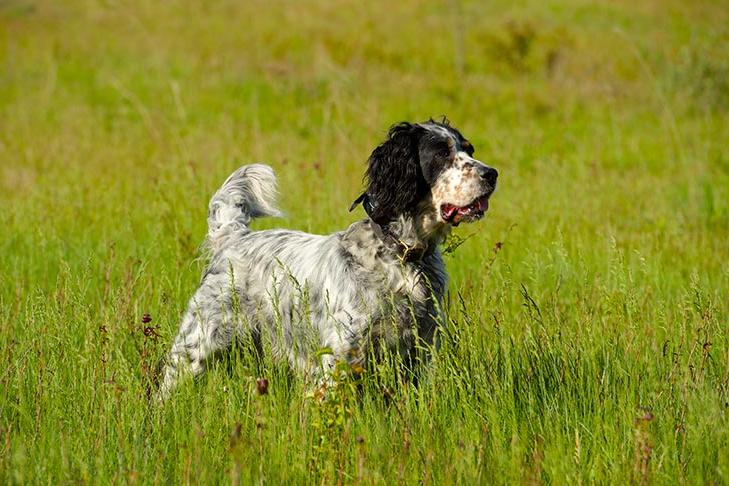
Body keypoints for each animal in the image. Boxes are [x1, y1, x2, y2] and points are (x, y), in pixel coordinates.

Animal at [154, 118, 494, 398]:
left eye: (468, 149)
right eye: (441, 154)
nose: (492, 173)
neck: (402, 256)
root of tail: (234, 238)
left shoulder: (420, 350)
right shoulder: (341, 355)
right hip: (196, 345)